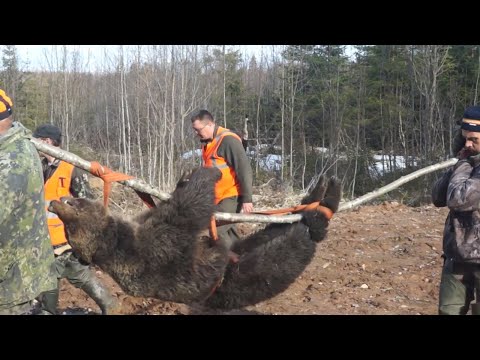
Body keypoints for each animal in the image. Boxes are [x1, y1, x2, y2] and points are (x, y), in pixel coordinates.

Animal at [49, 167, 342, 310]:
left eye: (74, 200)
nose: (55, 201)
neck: (116, 238)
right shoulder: (157, 246)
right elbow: (188, 208)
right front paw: (206, 174)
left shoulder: (142, 226)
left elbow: (163, 206)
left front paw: (184, 179)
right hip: (244, 280)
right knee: (290, 248)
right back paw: (322, 205)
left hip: (240, 254)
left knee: (263, 236)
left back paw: (315, 195)